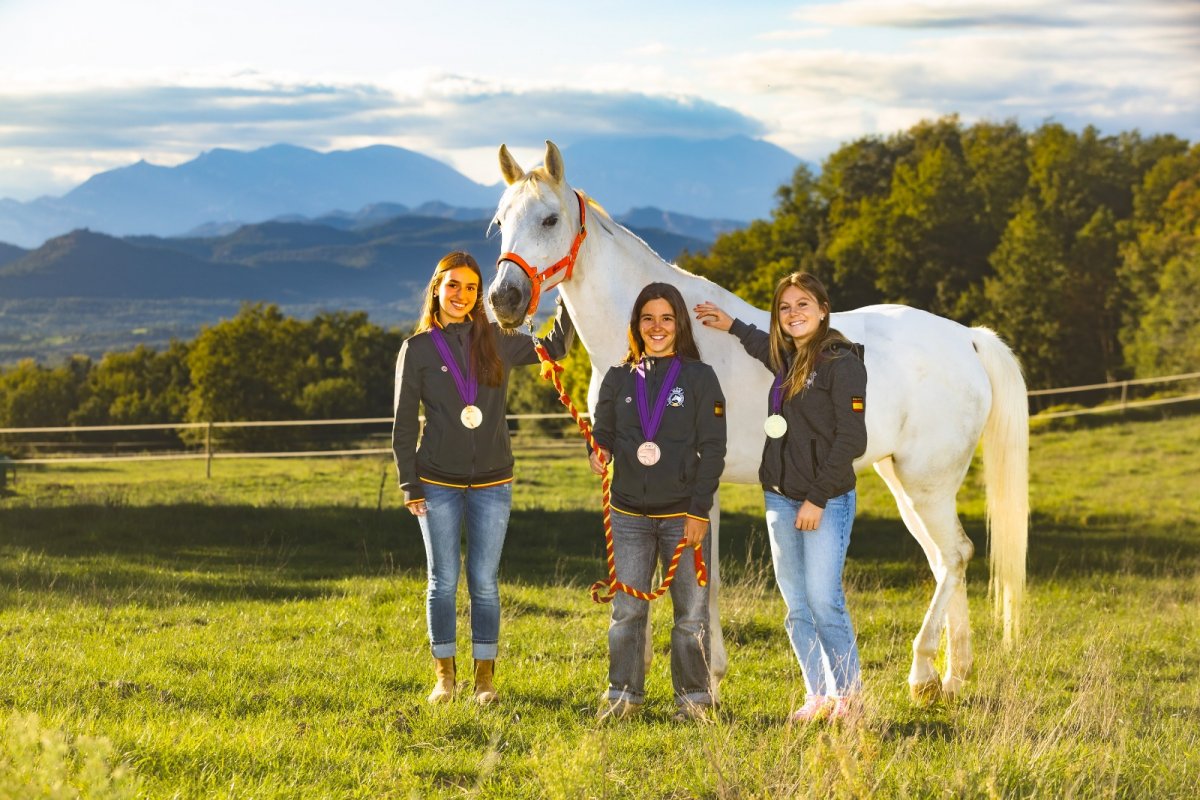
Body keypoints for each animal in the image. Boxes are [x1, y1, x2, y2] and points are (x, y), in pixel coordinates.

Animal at [487, 142, 1032, 700]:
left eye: (550, 219)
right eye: (501, 221)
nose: (504, 300)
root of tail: (967, 338)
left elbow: (700, 577)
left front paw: (708, 677)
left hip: (926, 483)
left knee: (956, 555)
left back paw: (923, 671)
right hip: (903, 481)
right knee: (946, 559)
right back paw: (953, 674)